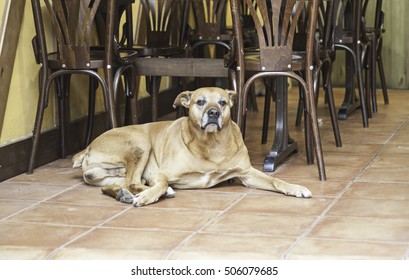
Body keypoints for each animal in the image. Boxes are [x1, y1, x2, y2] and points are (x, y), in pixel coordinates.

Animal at [71, 86, 310, 207]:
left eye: (222, 102)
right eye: (200, 101)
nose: (213, 113)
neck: (212, 144)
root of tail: (88, 147)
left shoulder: (247, 174)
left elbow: (276, 180)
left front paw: (295, 188)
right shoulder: (161, 173)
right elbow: (160, 183)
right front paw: (150, 195)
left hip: (115, 173)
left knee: (115, 185)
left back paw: (123, 194)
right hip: (141, 143)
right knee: (133, 182)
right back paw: (148, 194)